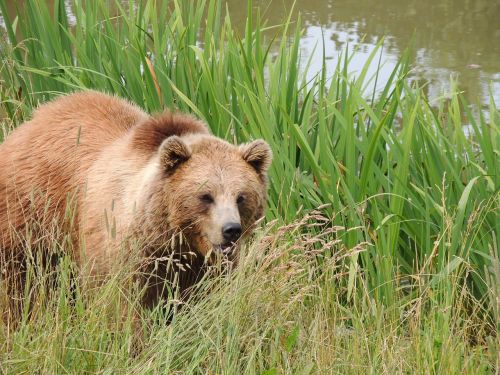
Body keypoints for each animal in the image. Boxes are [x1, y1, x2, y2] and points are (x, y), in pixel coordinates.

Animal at [0, 91, 272, 318]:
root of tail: (32, 120)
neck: (175, 241)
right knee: (18, 281)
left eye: (241, 196)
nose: (231, 230)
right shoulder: (126, 255)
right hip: (31, 213)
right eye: (206, 195)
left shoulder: (202, 270)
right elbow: (124, 306)